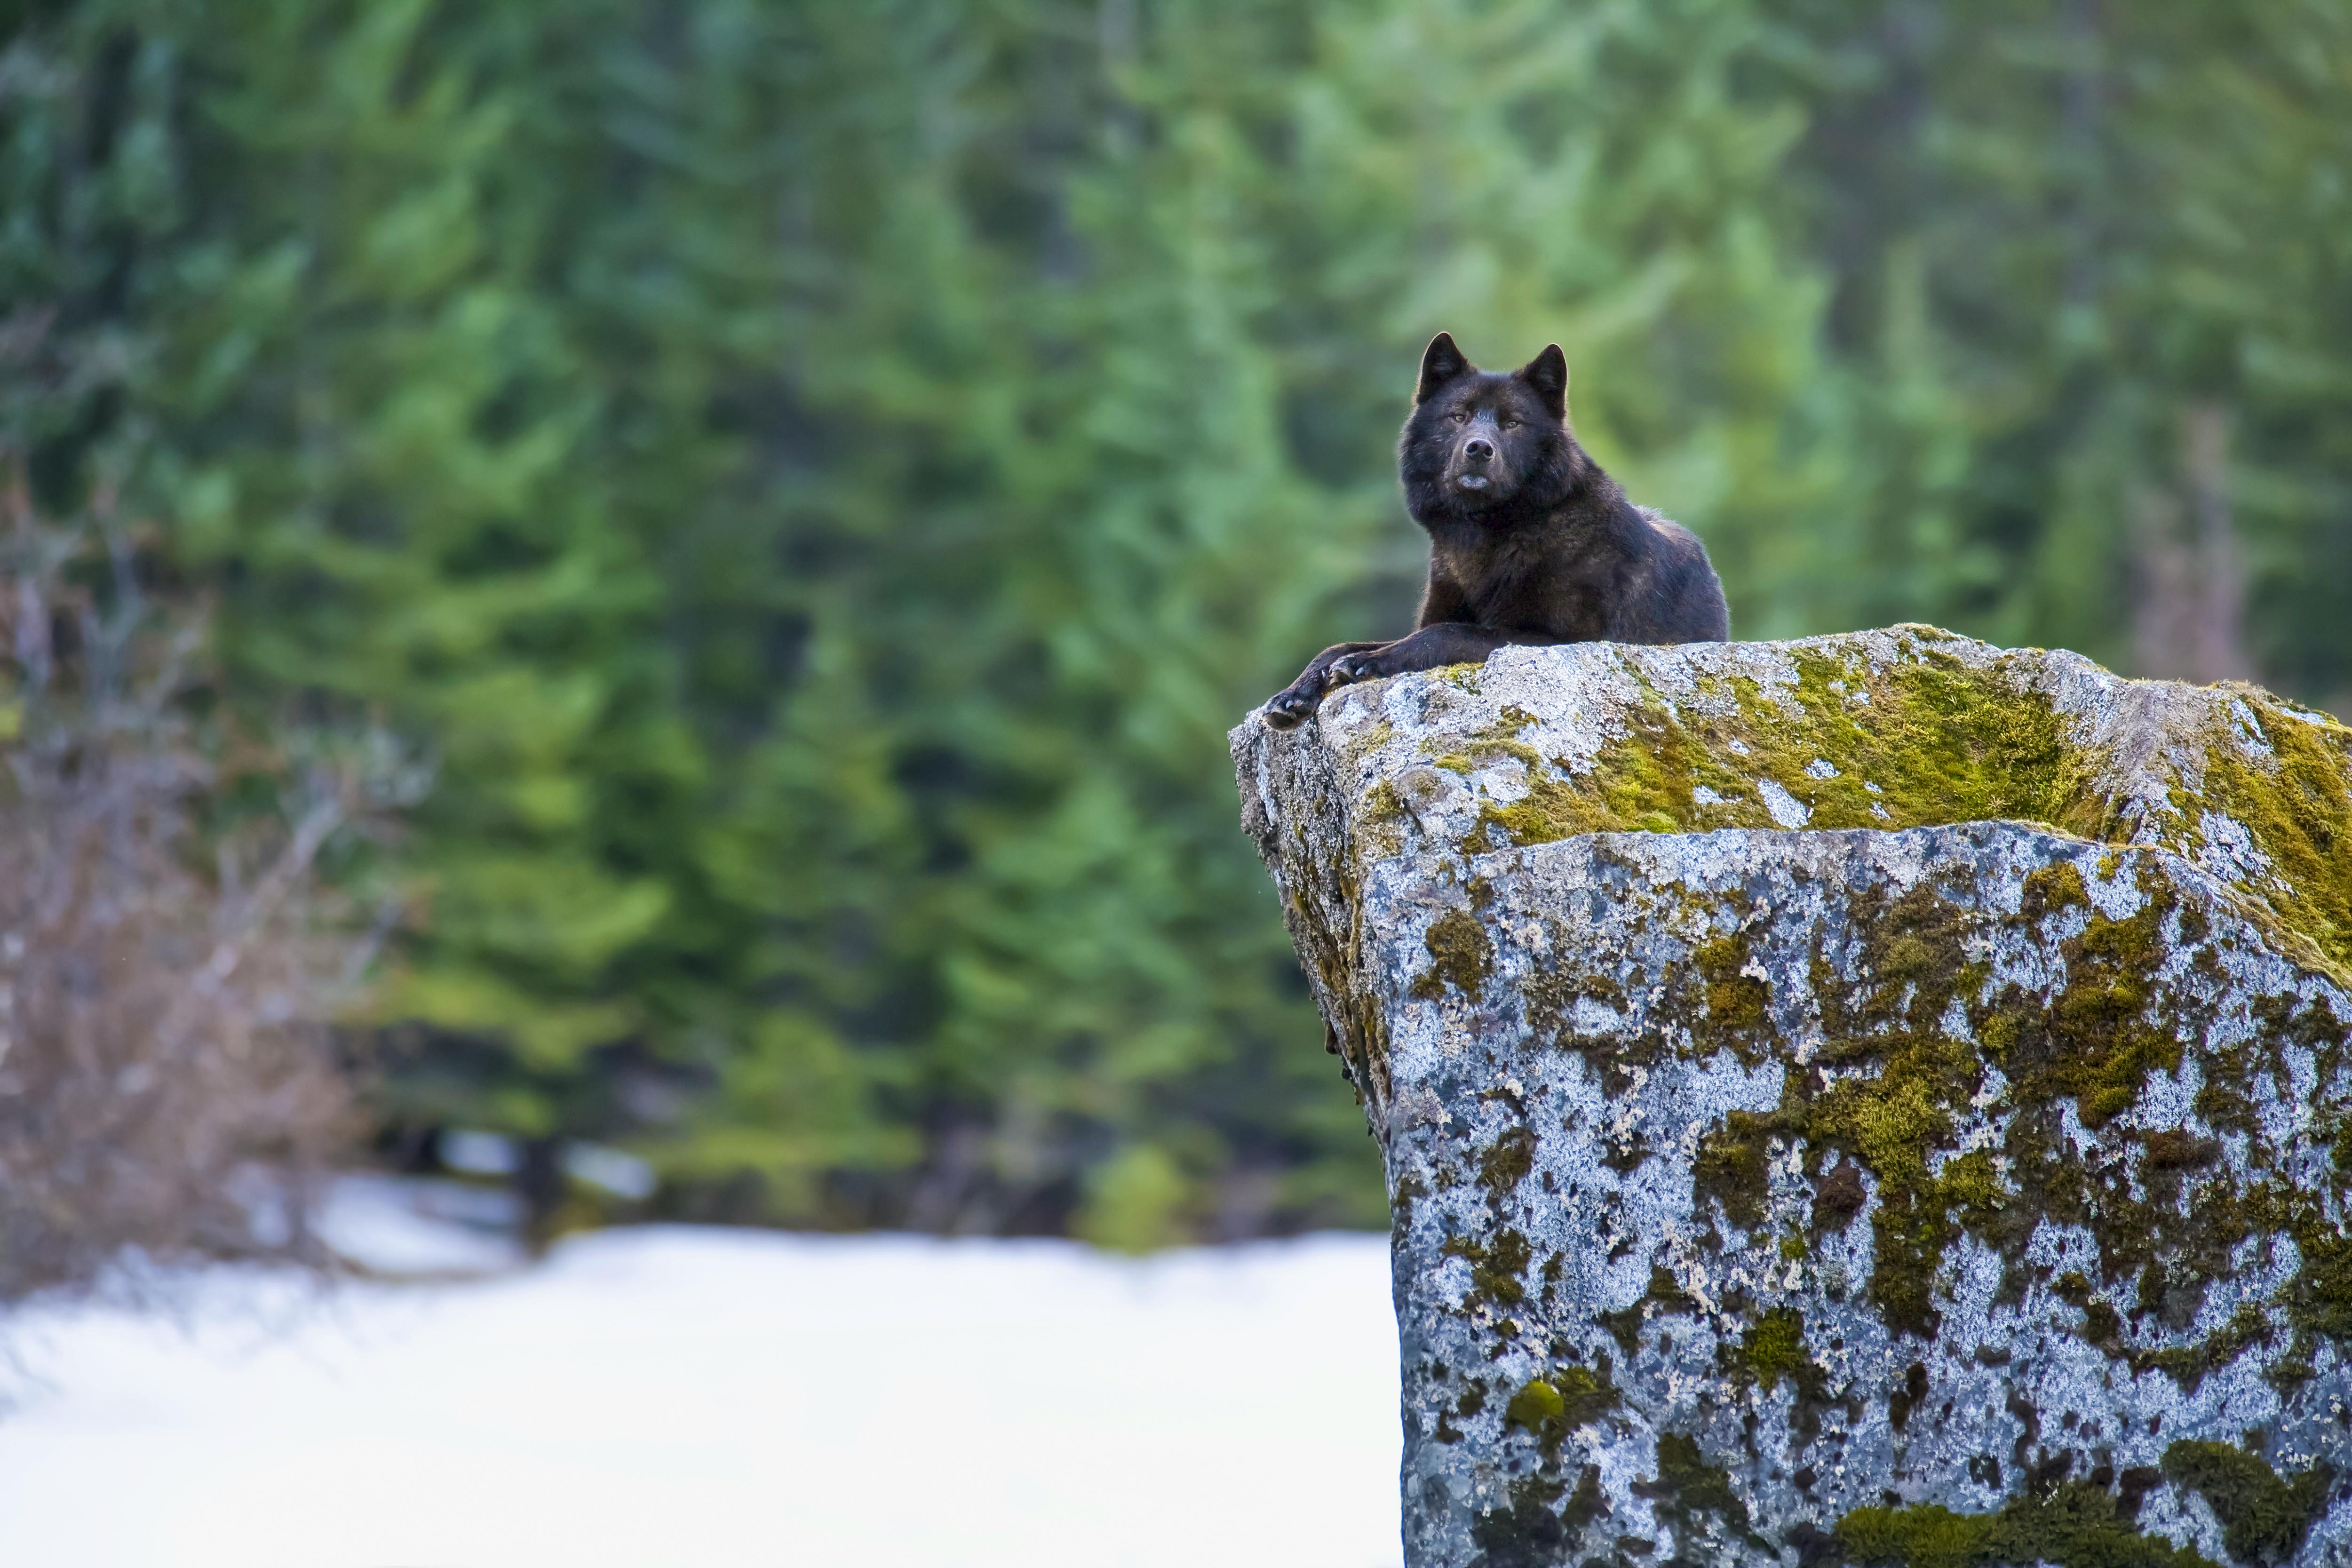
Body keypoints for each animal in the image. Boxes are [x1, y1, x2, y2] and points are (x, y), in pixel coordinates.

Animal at [1261, 333, 1729, 729]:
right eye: (1459, 416)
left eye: (1512, 423)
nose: (1479, 449)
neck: (1488, 536)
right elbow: (1338, 646)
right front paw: (1296, 692)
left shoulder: (1562, 641)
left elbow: (1445, 634)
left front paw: (1369, 664)